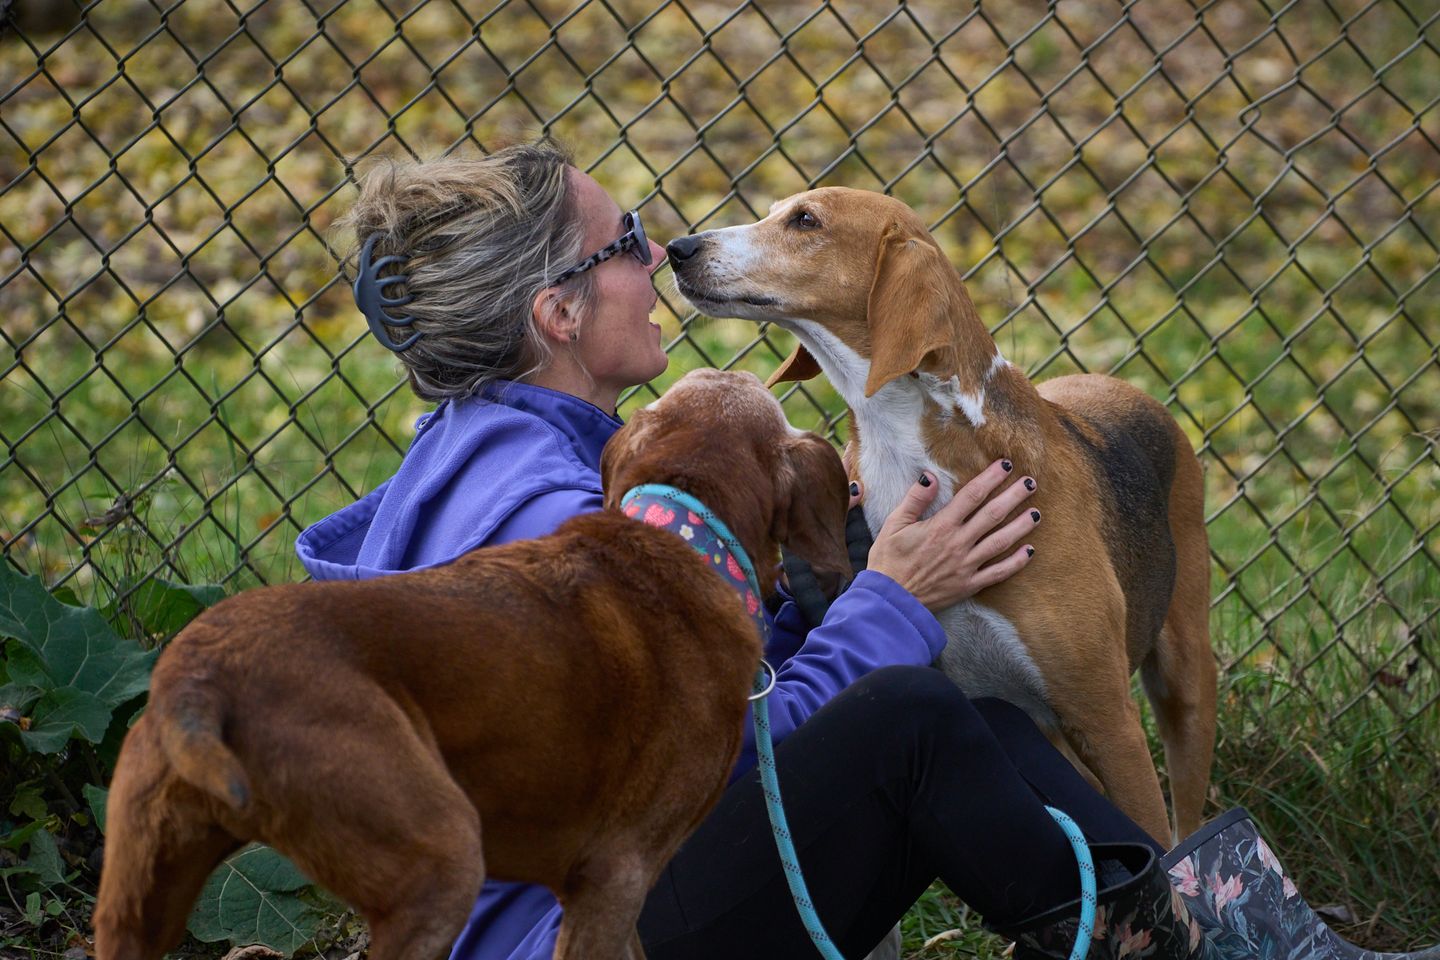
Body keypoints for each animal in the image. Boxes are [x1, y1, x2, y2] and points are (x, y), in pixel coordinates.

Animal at [665, 185, 1215, 840]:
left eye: (805, 221)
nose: (677, 248)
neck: (900, 441)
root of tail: (1125, 388)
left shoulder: (1108, 721)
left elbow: (1160, 843)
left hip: (1184, 688)